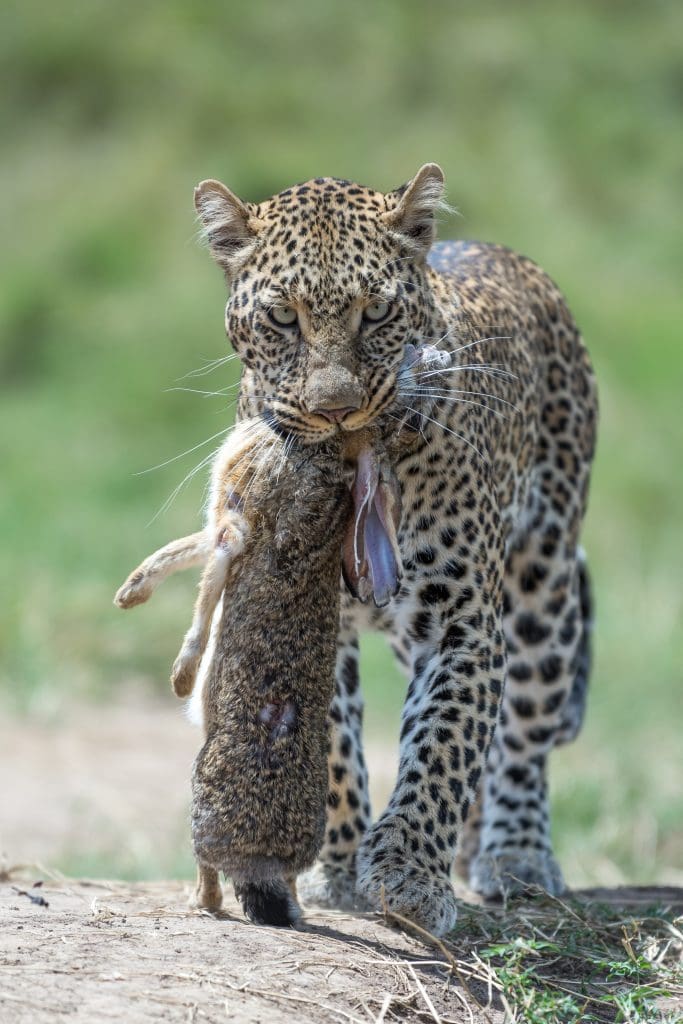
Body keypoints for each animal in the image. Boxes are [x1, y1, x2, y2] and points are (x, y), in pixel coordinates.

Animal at [192, 161, 598, 937]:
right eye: (282, 318)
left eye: (376, 313)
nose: (335, 409)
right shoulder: (312, 608)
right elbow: (333, 748)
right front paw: (341, 868)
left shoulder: (462, 620)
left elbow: (445, 742)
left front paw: (409, 874)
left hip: (545, 586)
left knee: (523, 736)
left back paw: (515, 854)